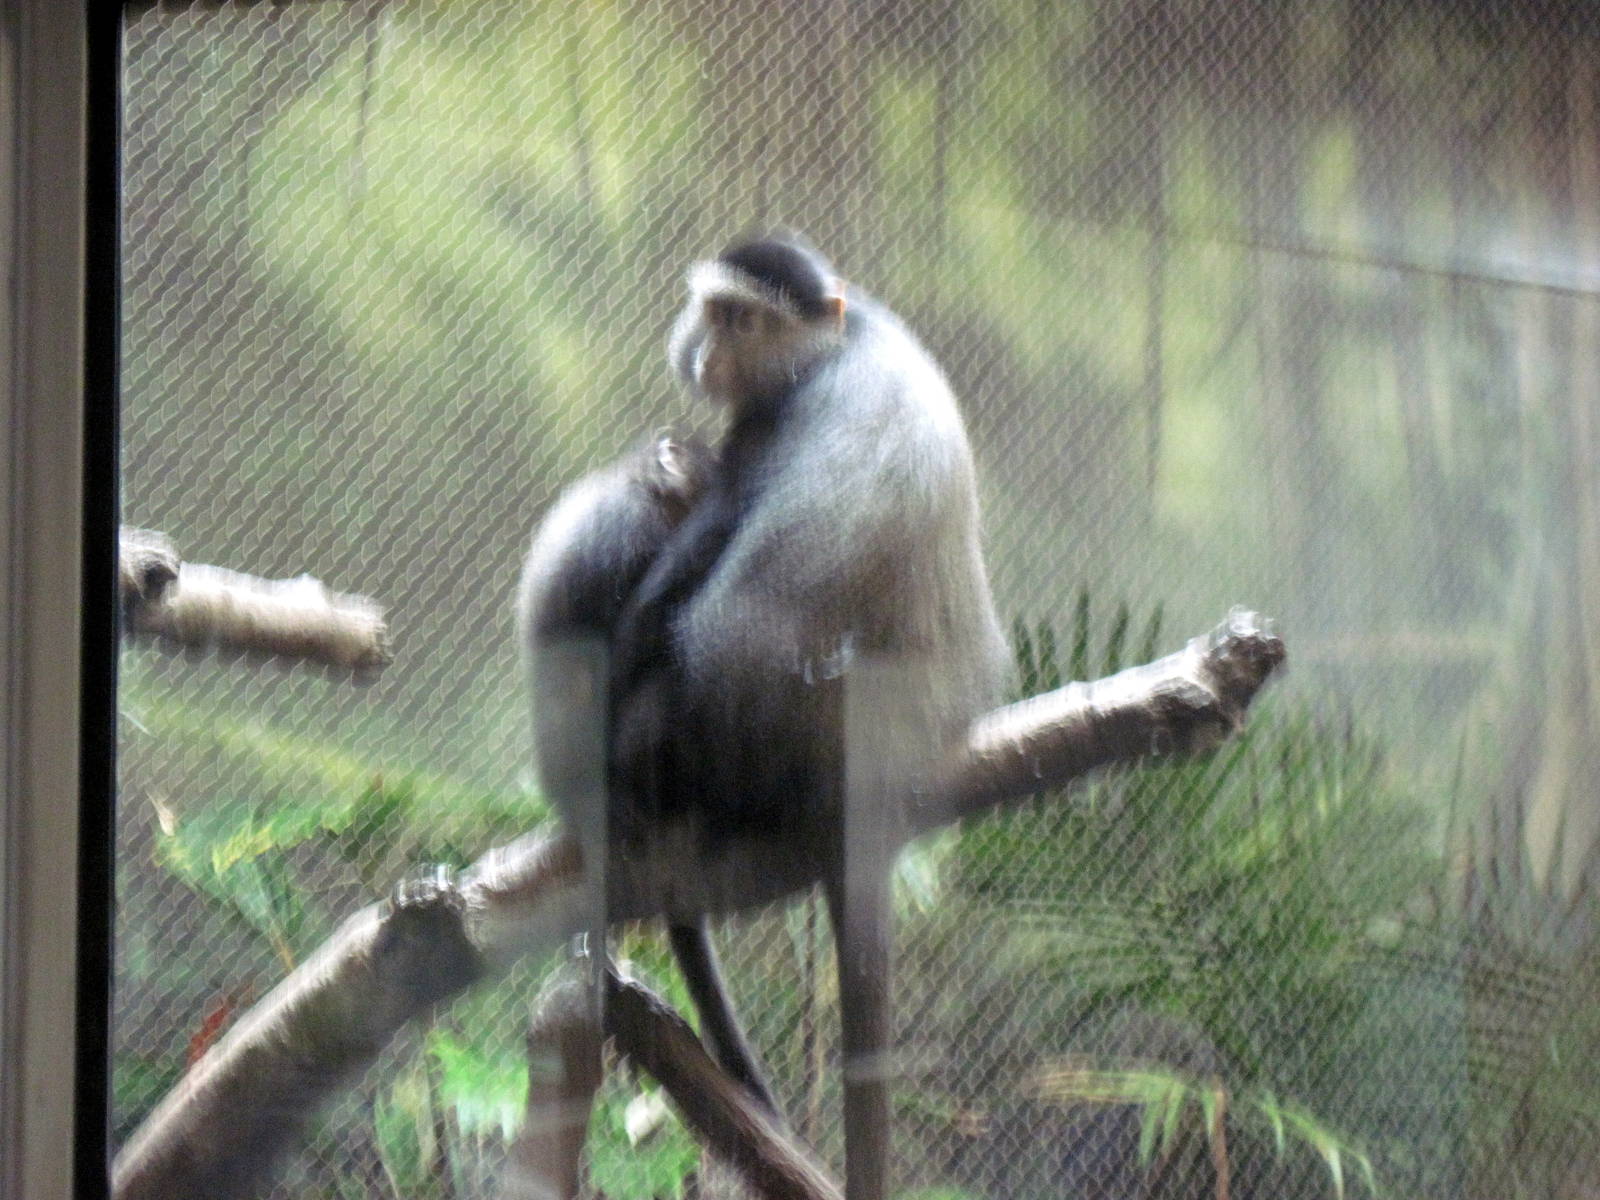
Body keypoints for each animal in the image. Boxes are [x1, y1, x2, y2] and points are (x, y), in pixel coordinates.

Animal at [519, 234, 1009, 1199]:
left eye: (743, 321)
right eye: (714, 312)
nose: (707, 350)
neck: (841, 335)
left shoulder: (764, 432)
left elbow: (687, 610)